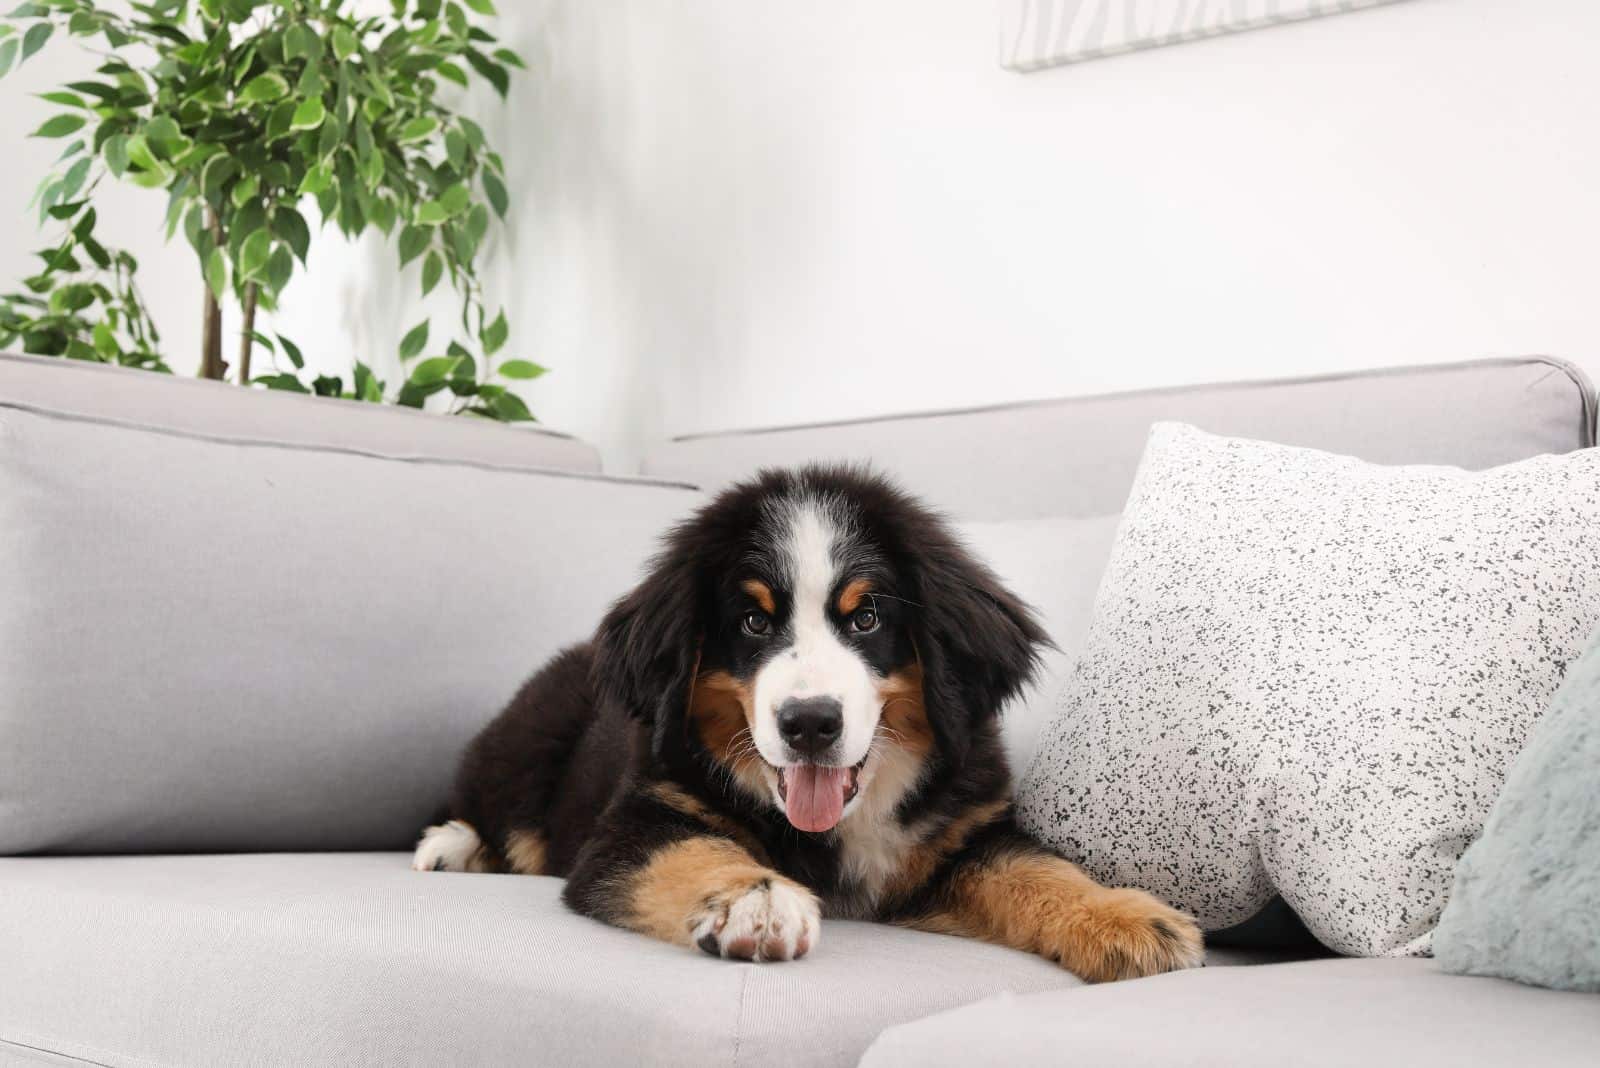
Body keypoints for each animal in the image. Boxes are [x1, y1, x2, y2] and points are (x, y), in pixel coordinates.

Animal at [412, 463, 1203, 978]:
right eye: (754, 621)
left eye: (867, 617)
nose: (810, 724)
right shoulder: (638, 819)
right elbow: (692, 851)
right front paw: (754, 904)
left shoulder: (959, 832)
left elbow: (1036, 869)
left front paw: (1128, 920)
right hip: (526, 744)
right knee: (500, 818)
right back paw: (450, 847)